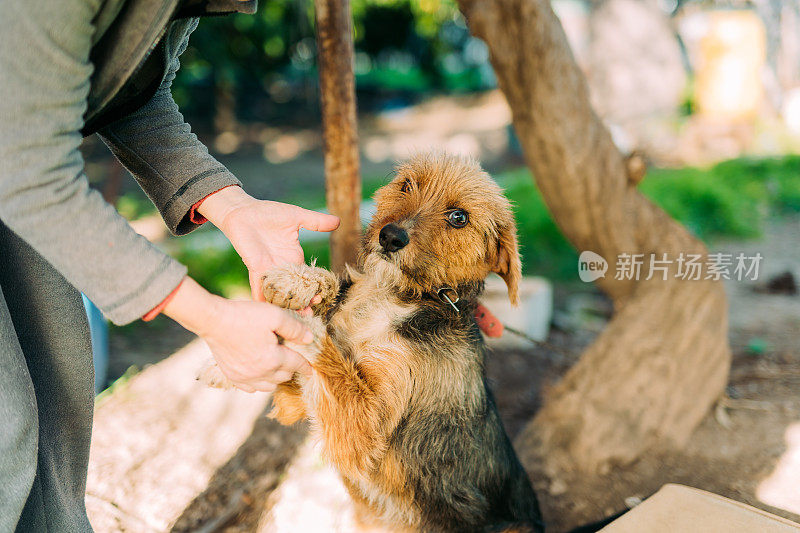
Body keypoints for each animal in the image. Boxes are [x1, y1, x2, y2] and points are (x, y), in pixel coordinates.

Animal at [200, 153, 544, 532]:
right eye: (407, 184)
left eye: (459, 218)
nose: (391, 236)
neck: (394, 298)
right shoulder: (297, 405)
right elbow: (332, 297)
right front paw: (299, 281)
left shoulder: (361, 432)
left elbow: (326, 354)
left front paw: (296, 322)